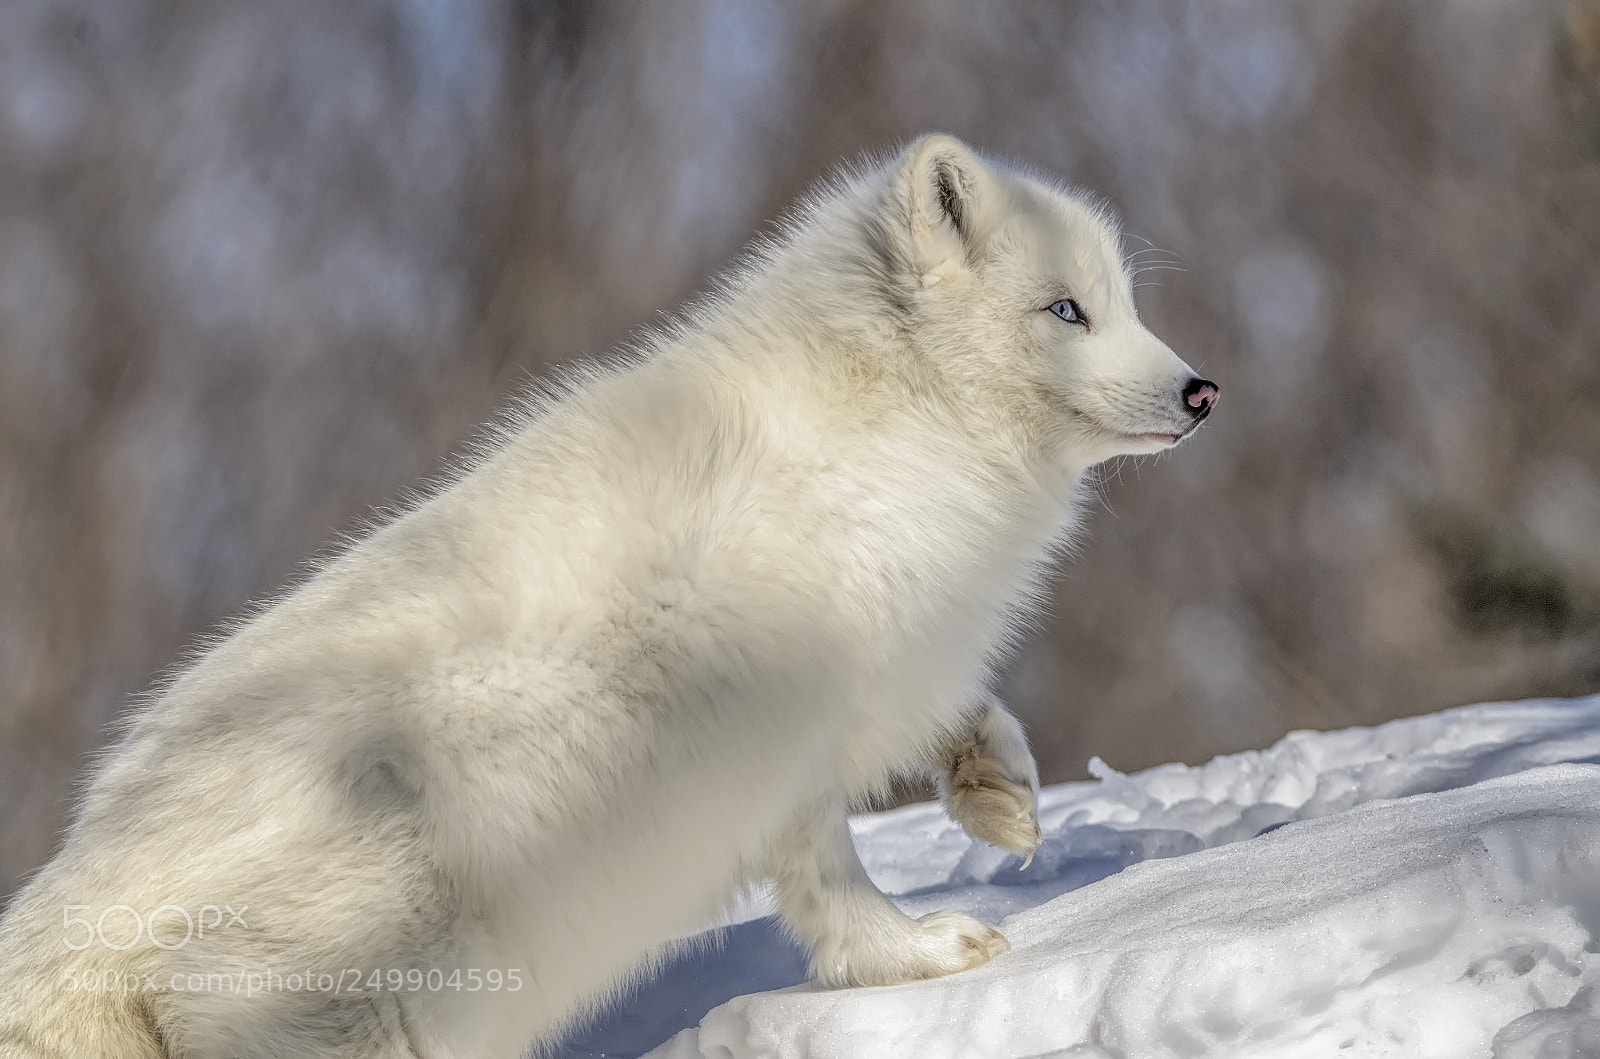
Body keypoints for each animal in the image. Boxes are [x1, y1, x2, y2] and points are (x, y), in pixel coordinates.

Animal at [0, 134, 1216, 1057]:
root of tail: (74, 895)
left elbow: (966, 715)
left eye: (1121, 304)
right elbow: (833, 883)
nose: (1204, 391)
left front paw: (1000, 794)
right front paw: (916, 956)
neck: (892, 433)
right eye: (1066, 312)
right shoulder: (780, 737)